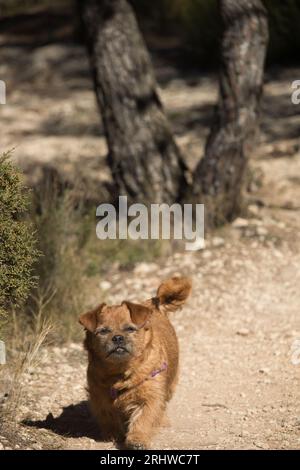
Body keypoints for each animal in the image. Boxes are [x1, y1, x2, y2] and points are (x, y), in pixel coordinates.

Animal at [79, 278, 192, 450]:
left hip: (171, 384)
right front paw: (113, 434)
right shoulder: (100, 396)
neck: (120, 372)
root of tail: (153, 304)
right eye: (103, 331)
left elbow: (143, 419)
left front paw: (137, 439)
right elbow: (108, 416)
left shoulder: (149, 397)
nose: (118, 338)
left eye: (130, 329)